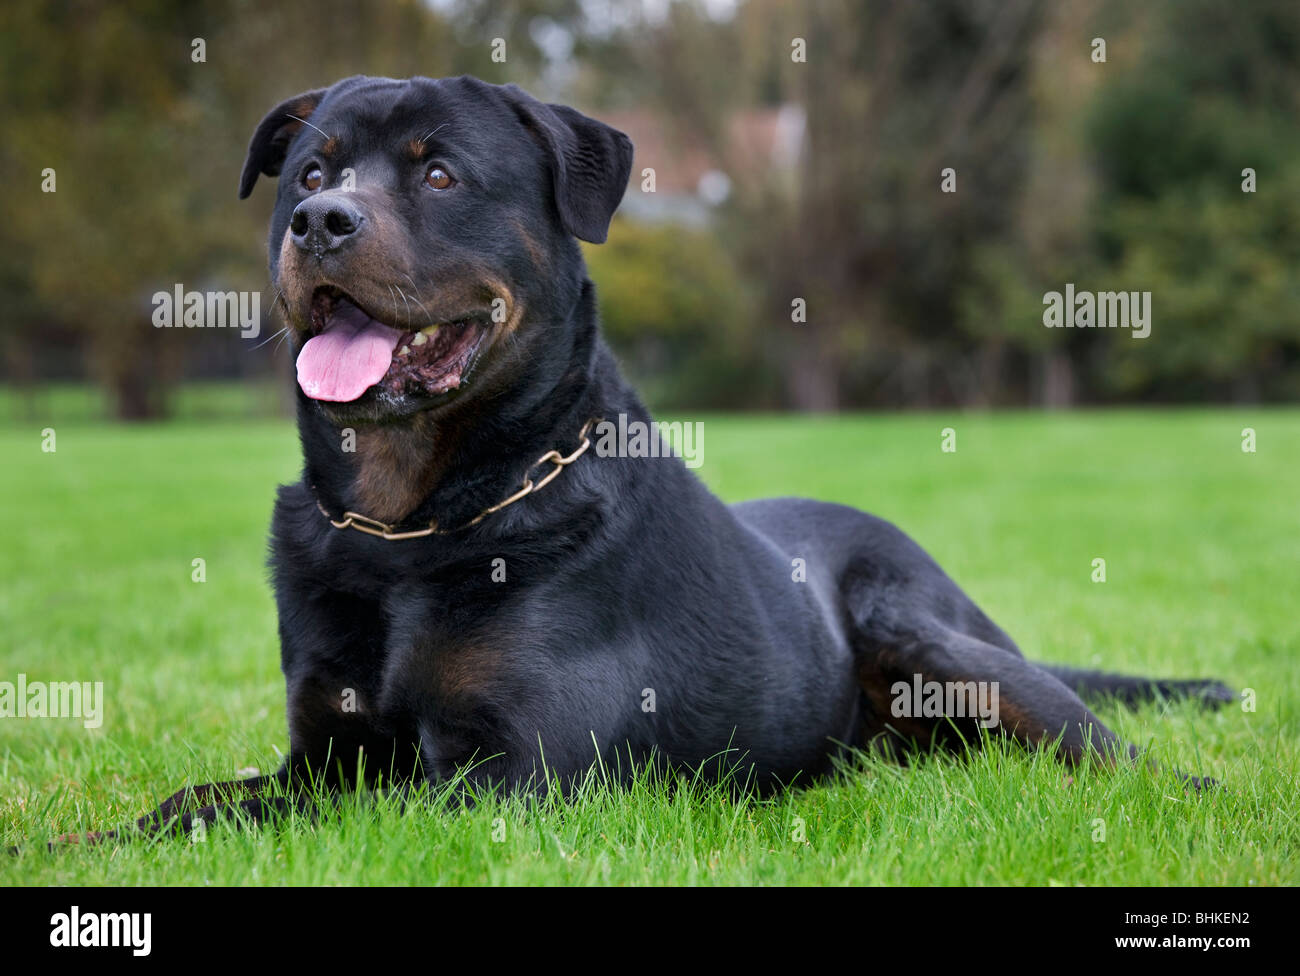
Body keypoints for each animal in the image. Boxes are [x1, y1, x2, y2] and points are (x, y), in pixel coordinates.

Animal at [101, 78, 1227, 842]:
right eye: (311, 172)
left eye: (439, 173)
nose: (320, 221)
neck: (410, 521)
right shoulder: (324, 753)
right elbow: (205, 798)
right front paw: (97, 836)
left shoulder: (510, 776)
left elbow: (317, 817)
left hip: (938, 642)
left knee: (1110, 749)